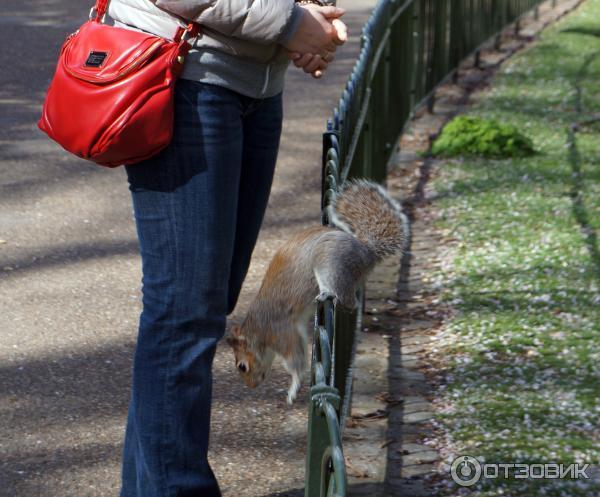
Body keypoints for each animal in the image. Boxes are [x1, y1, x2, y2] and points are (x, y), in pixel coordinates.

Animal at [225, 178, 408, 404]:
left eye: (242, 366)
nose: (251, 386)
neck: (258, 330)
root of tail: (366, 252)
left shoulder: (281, 332)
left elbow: (296, 360)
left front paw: (293, 387)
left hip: (330, 265)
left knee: (350, 301)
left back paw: (330, 295)